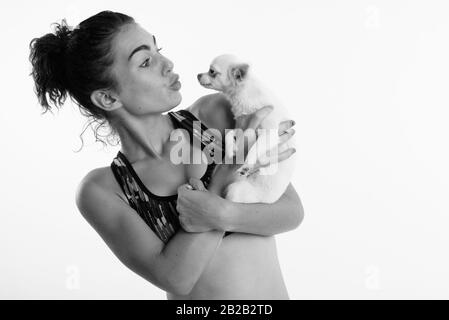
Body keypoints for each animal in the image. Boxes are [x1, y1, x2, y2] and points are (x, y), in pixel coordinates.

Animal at [196, 52, 294, 202]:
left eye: (212, 71)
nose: (198, 75)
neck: (244, 94)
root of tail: (268, 201)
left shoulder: (270, 133)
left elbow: (255, 148)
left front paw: (247, 164)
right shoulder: (240, 126)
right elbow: (230, 134)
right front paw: (231, 150)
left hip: (236, 191)